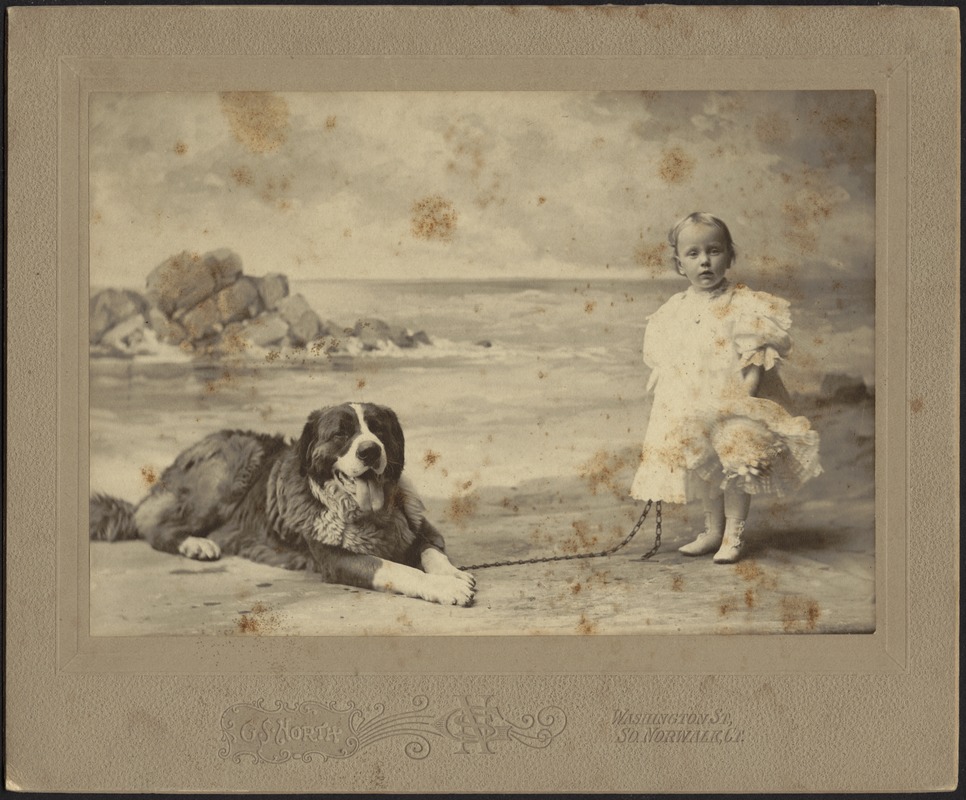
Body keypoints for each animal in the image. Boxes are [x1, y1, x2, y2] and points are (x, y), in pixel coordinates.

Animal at [92, 404, 478, 604]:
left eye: (379, 430)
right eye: (341, 433)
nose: (370, 451)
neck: (371, 515)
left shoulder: (418, 527)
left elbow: (431, 552)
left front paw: (453, 574)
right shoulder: (338, 560)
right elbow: (396, 569)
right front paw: (445, 588)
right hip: (233, 465)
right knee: (154, 526)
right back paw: (196, 545)